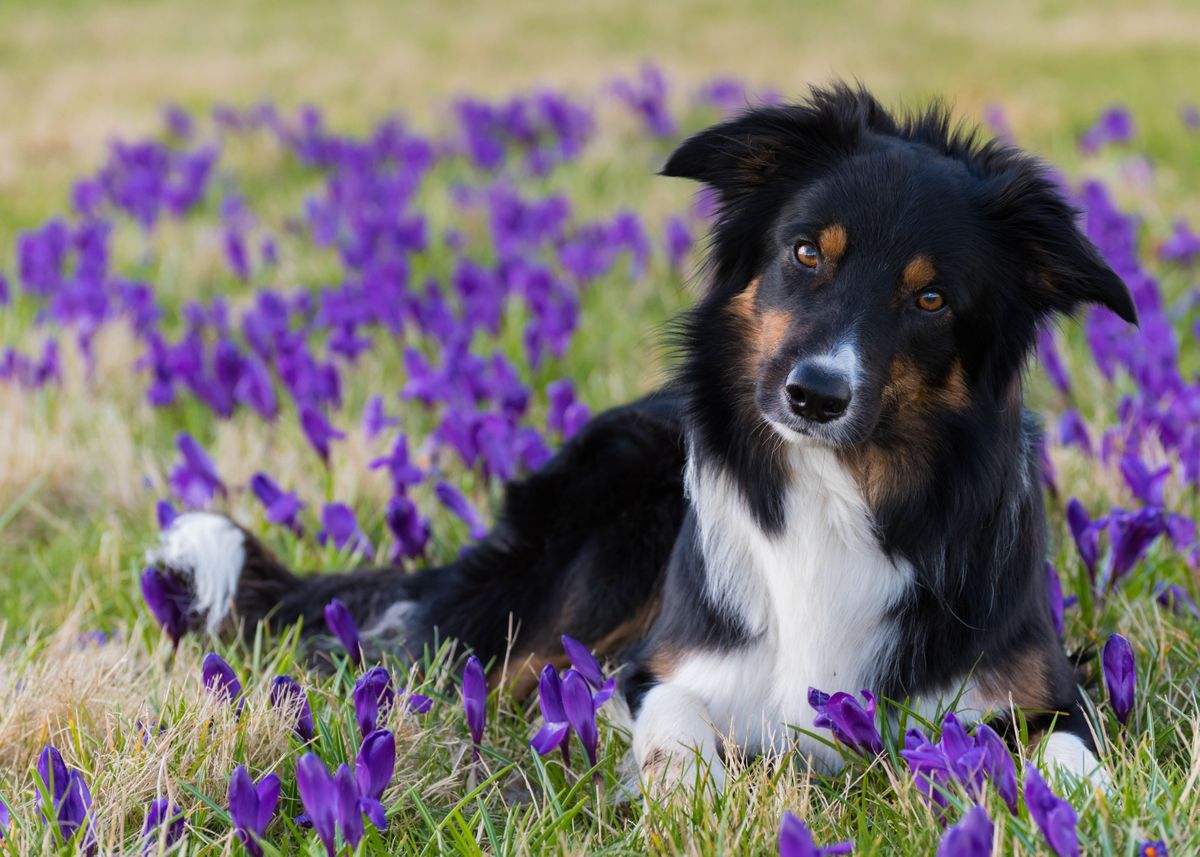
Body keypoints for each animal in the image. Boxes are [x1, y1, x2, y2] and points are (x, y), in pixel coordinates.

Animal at [147, 85, 1132, 787]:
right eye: (806, 252)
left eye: (930, 297)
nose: (815, 395)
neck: (836, 487)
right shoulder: (667, 662)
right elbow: (674, 720)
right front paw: (682, 786)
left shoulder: (1039, 692)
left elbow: (1073, 757)